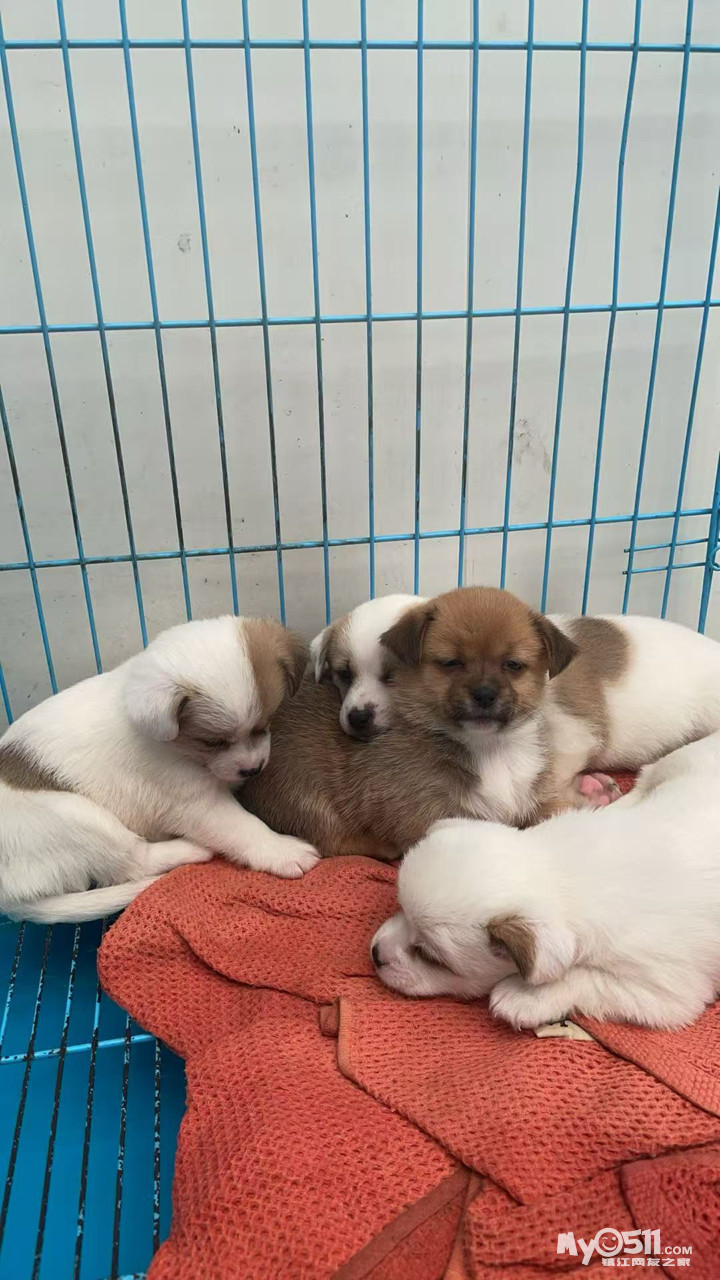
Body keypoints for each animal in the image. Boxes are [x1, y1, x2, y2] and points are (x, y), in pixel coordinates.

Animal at [0, 616, 318, 923]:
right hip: (81, 819)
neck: (177, 748)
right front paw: (281, 849)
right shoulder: (198, 805)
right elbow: (245, 827)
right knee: (134, 863)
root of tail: (9, 899)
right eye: (212, 742)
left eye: (266, 724)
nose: (253, 770)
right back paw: (189, 850)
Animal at [371, 731, 720, 1030]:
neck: (564, 868)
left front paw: (524, 997)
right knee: (645, 780)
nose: (374, 953)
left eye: (430, 957)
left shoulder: (662, 990)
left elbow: (583, 978)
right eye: (400, 909)